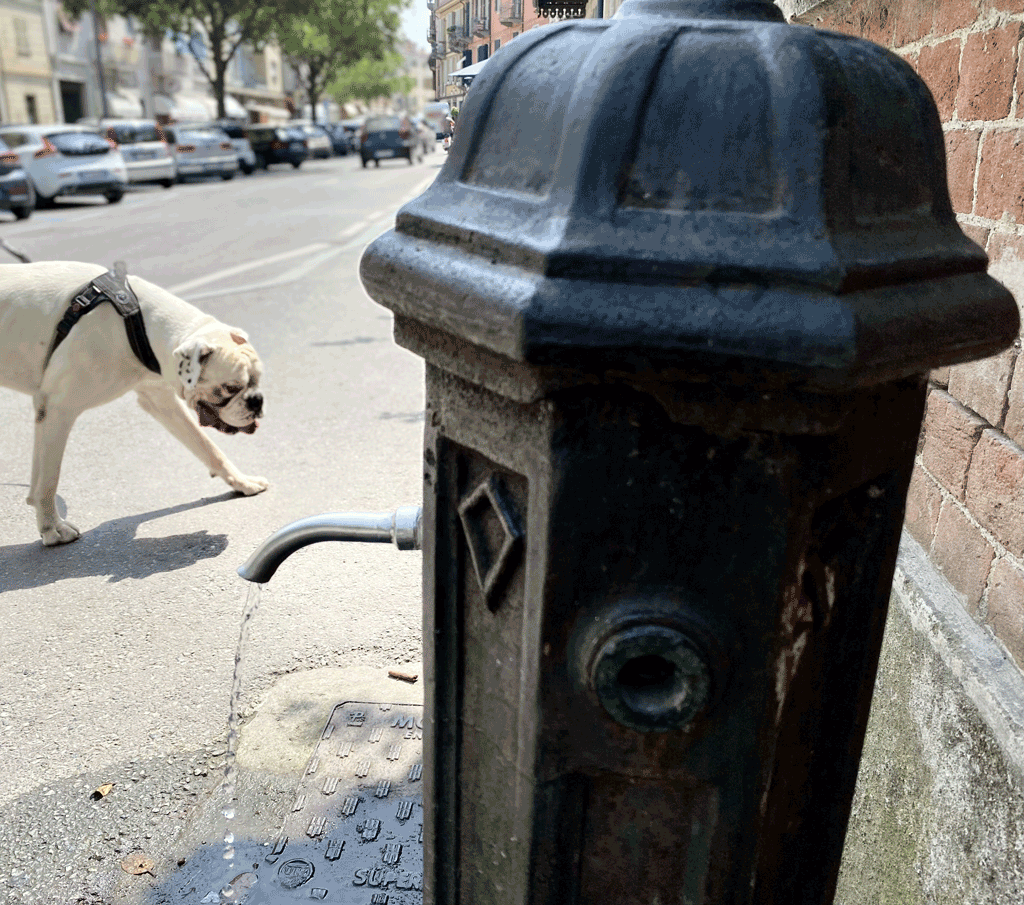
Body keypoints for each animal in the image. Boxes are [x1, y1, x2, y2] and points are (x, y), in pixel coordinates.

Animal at [0, 260, 268, 544]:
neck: (135, 320)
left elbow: (207, 447)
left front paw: (242, 481)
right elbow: (50, 477)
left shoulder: (160, 400)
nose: (257, 401)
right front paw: (52, 527)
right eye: (231, 388)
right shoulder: (59, 410)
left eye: (258, 380)